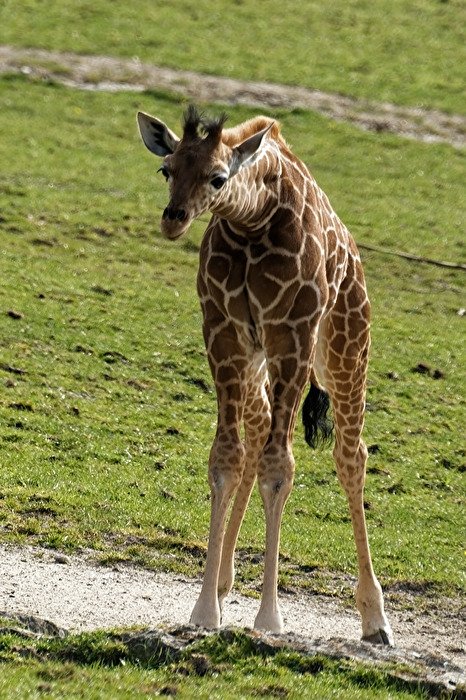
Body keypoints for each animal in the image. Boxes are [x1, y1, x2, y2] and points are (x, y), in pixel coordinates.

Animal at [137, 105, 394, 645]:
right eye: (166, 169)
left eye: (217, 177)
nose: (173, 220)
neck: (251, 221)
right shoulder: (223, 333)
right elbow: (226, 458)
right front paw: (204, 611)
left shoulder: (291, 334)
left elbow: (281, 468)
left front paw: (270, 619)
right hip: (260, 364)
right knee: (256, 439)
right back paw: (221, 584)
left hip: (345, 347)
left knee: (350, 455)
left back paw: (375, 618)